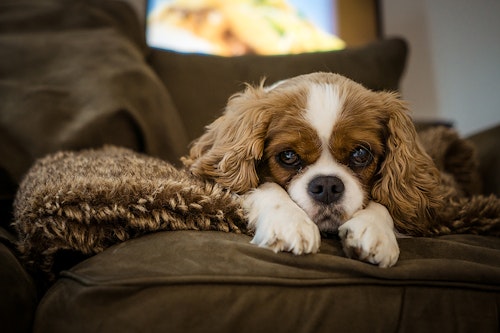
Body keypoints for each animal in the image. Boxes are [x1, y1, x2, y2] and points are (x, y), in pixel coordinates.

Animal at [183, 72, 500, 268]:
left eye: (360, 153)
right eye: (288, 156)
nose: (326, 186)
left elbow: (382, 201)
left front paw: (373, 230)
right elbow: (265, 186)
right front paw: (289, 222)